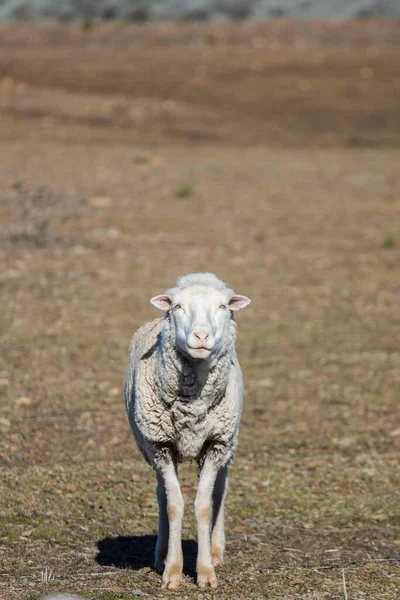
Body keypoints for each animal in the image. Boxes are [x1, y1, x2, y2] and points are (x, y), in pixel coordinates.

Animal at [124, 274, 250, 592]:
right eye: (178, 307)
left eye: (222, 306)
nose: (201, 336)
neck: (192, 404)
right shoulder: (160, 445)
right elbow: (173, 505)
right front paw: (172, 570)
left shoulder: (216, 444)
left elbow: (204, 505)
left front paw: (205, 571)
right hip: (152, 450)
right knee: (161, 494)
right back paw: (160, 554)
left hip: (227, 445)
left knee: (220, 491)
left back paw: (216, 550)